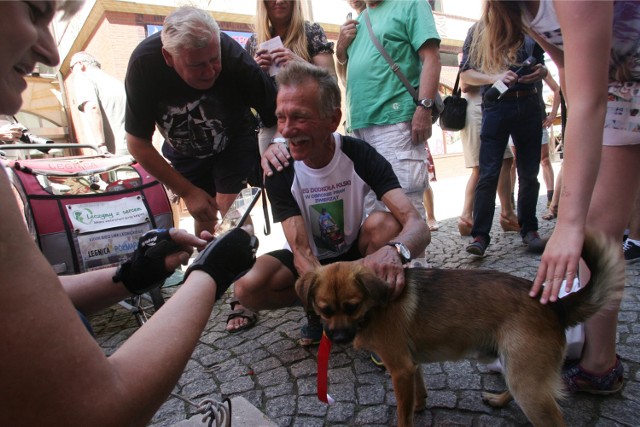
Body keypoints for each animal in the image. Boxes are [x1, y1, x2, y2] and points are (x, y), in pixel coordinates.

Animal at [296, 232, 624, 426]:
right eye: (324, 310)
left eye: (351, 307)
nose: (337, 338)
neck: (376, 306)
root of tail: (555, 305)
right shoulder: (411, 365)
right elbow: (418, 391)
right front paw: (420, 406)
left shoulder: (399, 368)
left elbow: (403, 413)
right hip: (520, 369)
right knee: (515, 386)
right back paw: (499, 400)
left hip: (528, 382)